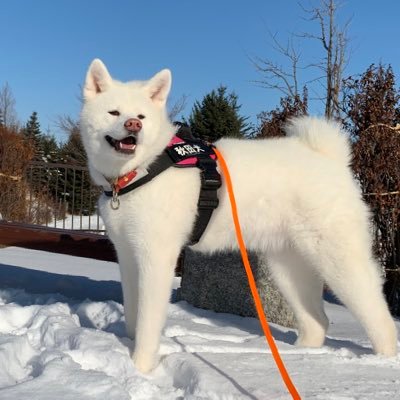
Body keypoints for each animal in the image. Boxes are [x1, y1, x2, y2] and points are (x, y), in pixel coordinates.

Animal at [80, 58, 396, 372]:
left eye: (141, 116)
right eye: (114, 112)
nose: (132, 125)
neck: (140, 170)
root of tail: (330, 158)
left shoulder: (156, 257)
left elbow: (147, 323)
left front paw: (141, 369)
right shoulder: (127, 255)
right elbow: (133, 315)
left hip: (338, 260)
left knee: (379, 315)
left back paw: (381, 360)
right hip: (287, 268)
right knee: (318, 321)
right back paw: (299, 357)